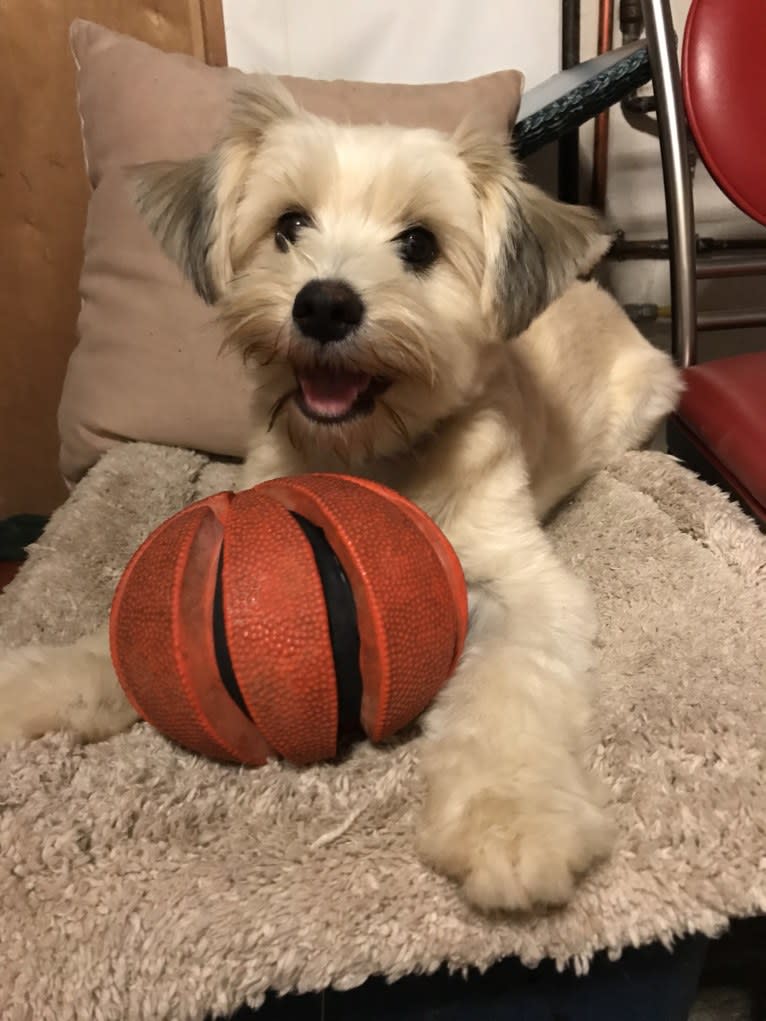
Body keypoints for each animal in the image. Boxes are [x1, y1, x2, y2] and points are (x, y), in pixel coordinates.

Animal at [0, 77, 682, 910]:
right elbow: (124, 633)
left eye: (419, 244)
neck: (369, 455)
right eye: (290, 225)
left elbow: (507, 691)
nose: (323, 304)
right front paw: (37, 683)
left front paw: (509, 819)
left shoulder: (522, 581)